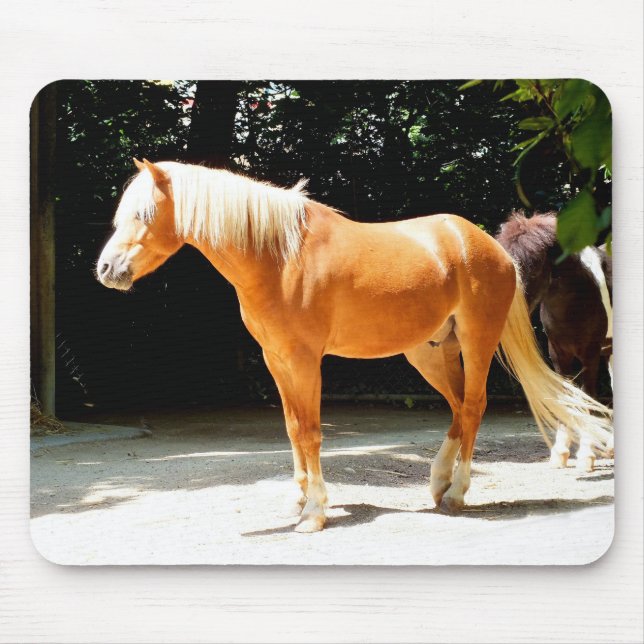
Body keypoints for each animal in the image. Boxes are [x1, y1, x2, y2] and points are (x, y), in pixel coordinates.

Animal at [496, 211, 613, 469]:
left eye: (534, 265)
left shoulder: (590, 354)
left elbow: (589, 397)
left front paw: (586, 456)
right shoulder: (558, 354)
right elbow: (565, 397)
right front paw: (561, 453)